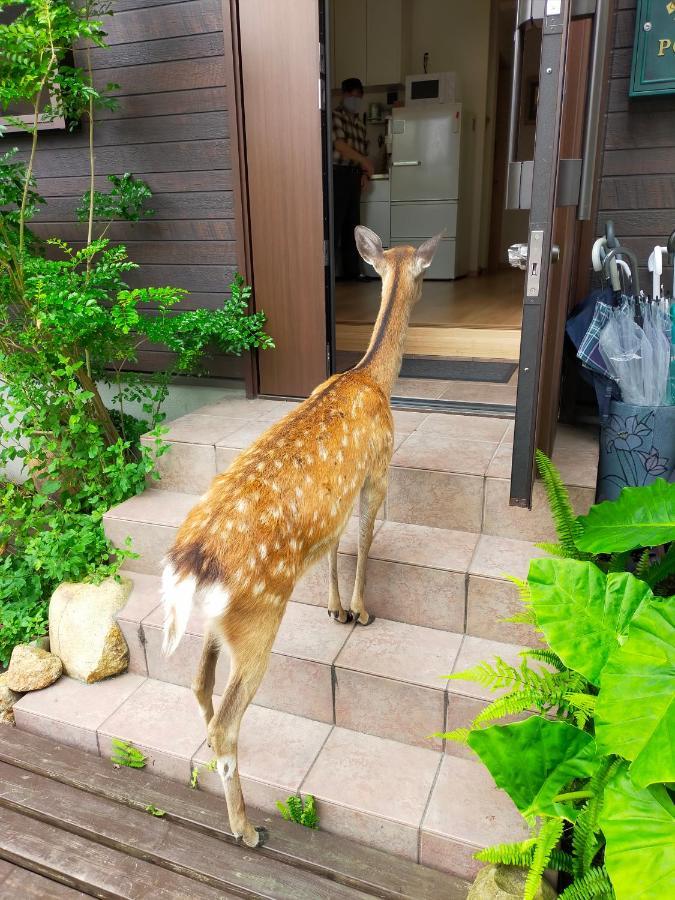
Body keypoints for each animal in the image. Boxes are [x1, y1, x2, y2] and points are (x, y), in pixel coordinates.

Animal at [161, 229, 440, 848]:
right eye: (425, 272)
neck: (371, 378)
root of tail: (190, 566)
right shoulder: (377, 469)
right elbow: (364, 538)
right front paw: (360, 611)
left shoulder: (334, 505)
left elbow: (334, 546)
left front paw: (336, 609)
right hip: (258, 619)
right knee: (228, 720)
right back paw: (246, 828)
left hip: (219, 623)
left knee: (197, 684)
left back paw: (205, 756)